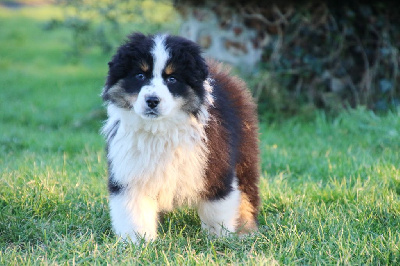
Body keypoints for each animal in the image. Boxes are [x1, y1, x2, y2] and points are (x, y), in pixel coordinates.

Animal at [101, 32, 260, 242]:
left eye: (172, 79)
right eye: (140, 75)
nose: (152, 101)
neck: (159, 128)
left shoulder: (215, 164)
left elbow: (217, 208)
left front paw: (218, 239)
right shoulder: (129, 171)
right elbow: (134, 212)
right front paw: (138, 242)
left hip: (245, 152)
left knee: (247, 192)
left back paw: (247, 230)